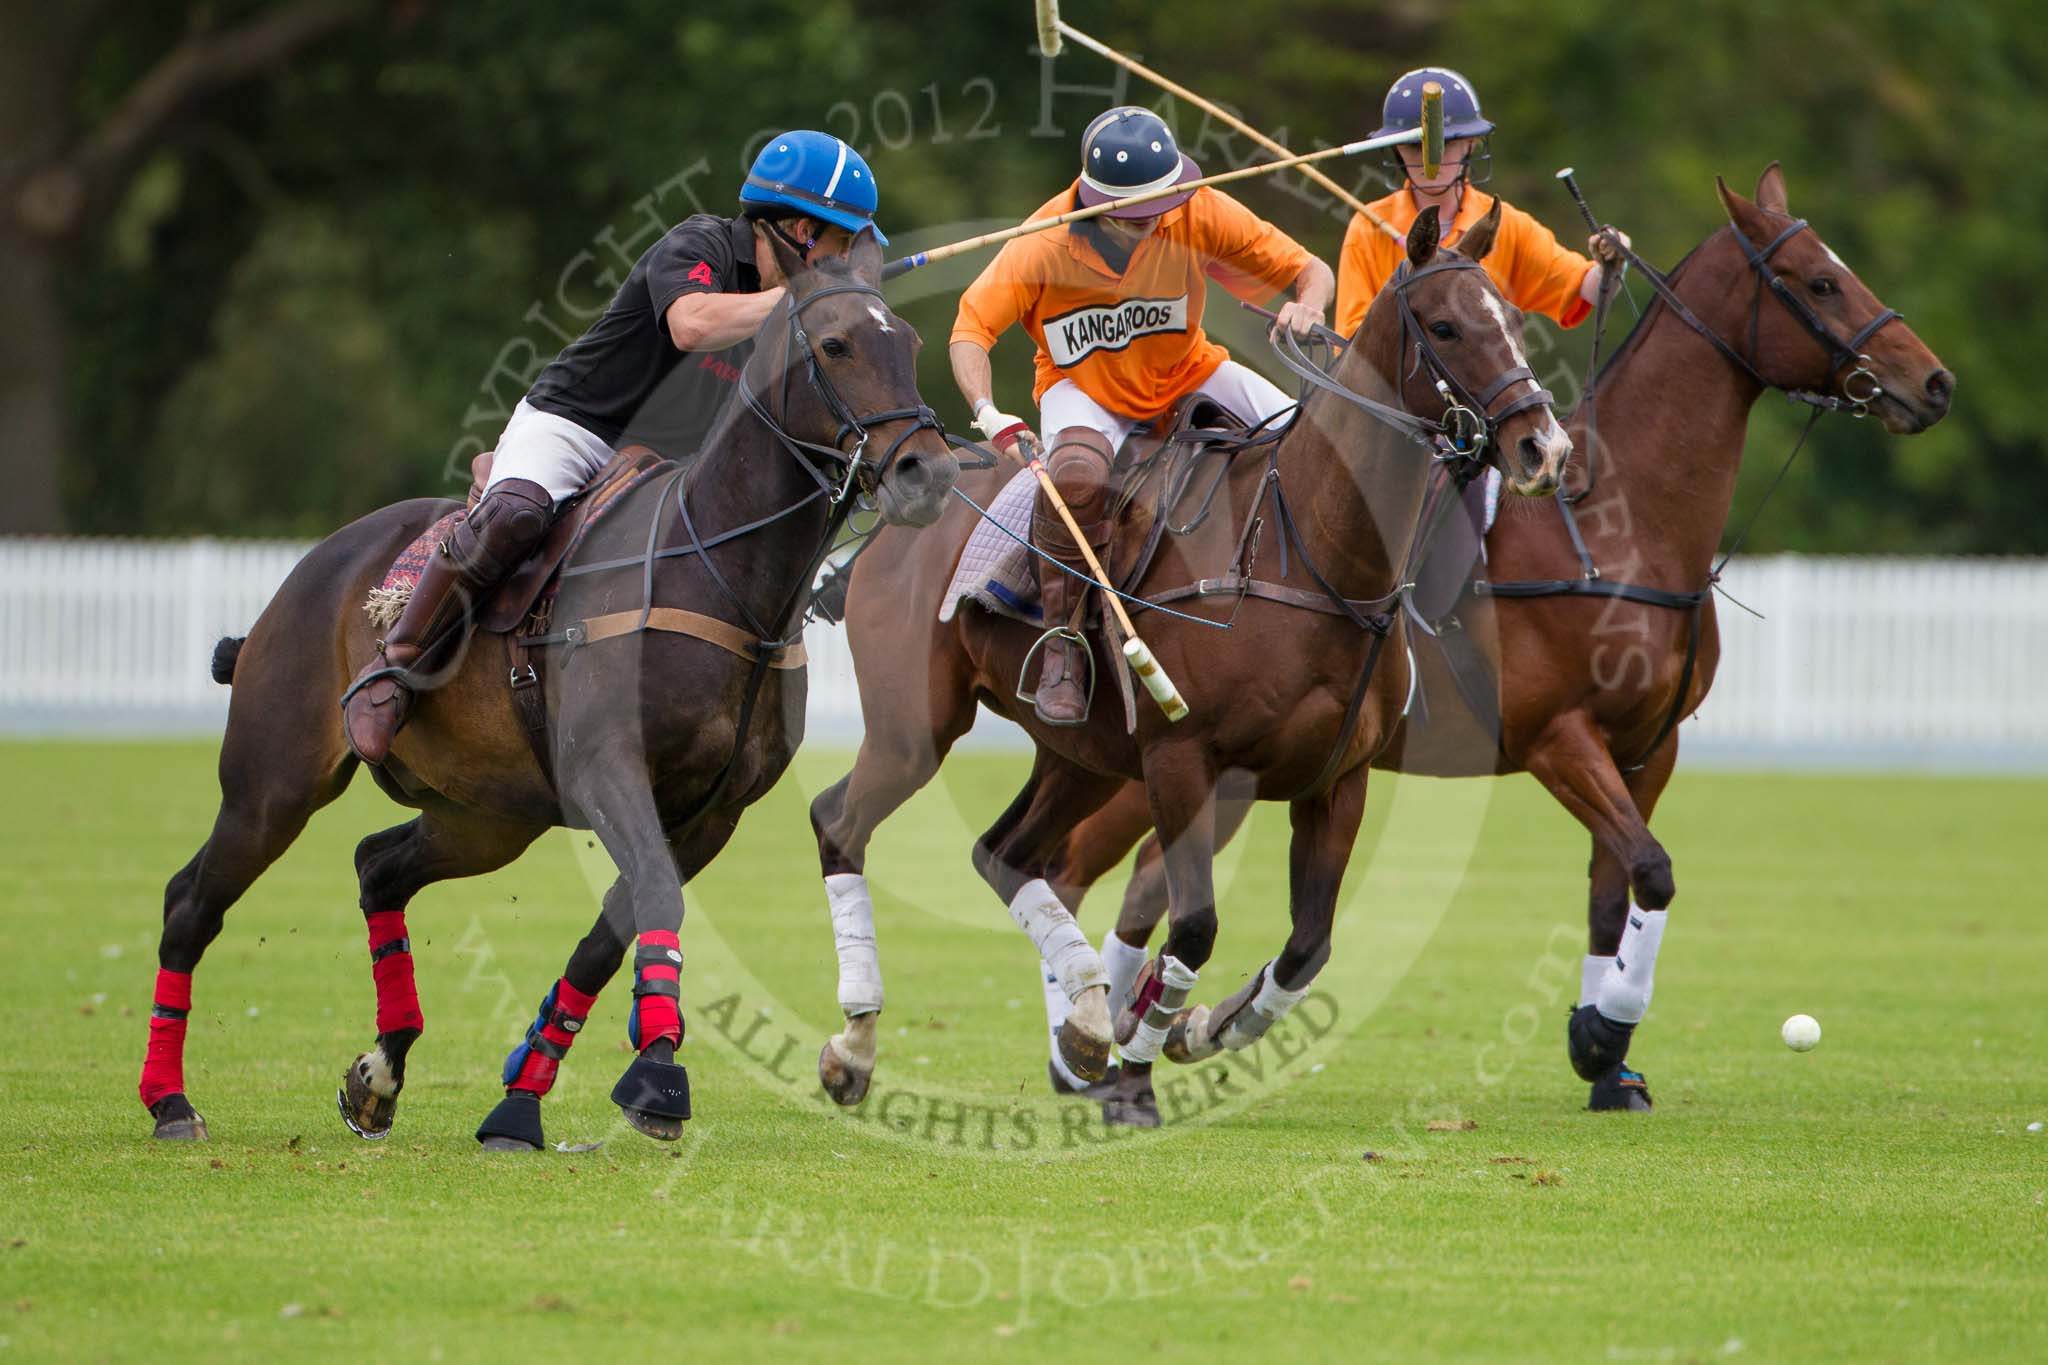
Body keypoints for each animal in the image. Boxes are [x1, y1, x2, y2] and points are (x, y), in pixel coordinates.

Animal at [142, 232, 958, 1146]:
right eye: (837, 345)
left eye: (910, 344)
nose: (928, 471)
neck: (721, 572)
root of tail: (311, 567)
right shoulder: (608, 766)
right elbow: (653, 897)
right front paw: (657, 1073)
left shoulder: (713, 810)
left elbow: (613, 929)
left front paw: (523, 1099)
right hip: (272, 781)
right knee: (191, 901)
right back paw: (170, 1100)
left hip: (487, 815)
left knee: (376, 865)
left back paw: (379, 1072)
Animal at [794, 205, 1564, 1121]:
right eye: (1444, 326)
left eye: (1511, 316)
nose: (1543, 447)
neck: (1313, 555)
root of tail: (897, 511)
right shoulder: (1183, 761)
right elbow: (1194, 923)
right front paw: (1145, 1055)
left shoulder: (1337, 778)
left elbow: (1308, 945)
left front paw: (1203, 1025)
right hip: (919, 725)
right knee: (841, 821)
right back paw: (857, 1047)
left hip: (1082, 754)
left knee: (1005, 851)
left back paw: (1084, 1019)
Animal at [1048, 165, 1957, 1113]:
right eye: (1818, 282)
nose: (1934, 383)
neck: (1615, 521)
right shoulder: (1558, 737)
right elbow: (1652, 866)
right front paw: (1599, 1035)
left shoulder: (1650, 746)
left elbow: (1617, 889)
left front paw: (1612, 1060)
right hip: (1160, 759)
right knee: (1090, 867)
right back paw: (1094, 1048)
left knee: (1139, 881)